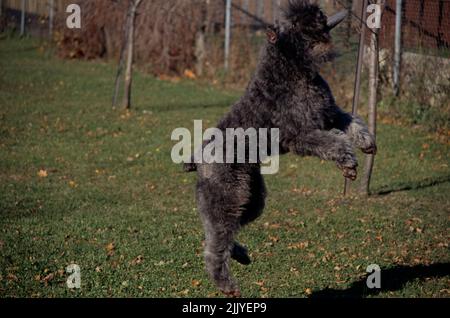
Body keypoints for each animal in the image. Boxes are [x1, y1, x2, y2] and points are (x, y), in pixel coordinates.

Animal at [184, 0, 376, 298]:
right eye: (296, 25)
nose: (320, 16)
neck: (292, 70)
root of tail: (199, 158)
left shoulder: (330, 114)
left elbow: (354, 122)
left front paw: (366, 143)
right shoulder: (300, 135)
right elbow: (333, 141)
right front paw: (348, 162)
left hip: (251, 200)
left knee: (222, 234)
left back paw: (240, 255)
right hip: (227, 199)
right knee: (214, 245)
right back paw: (227, 285)